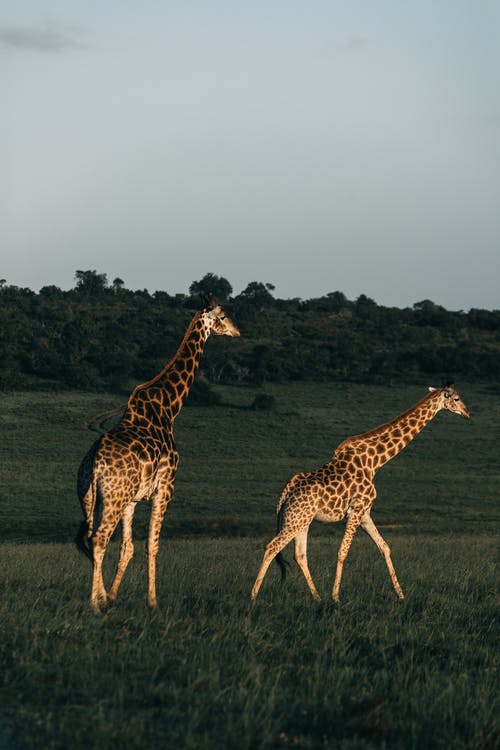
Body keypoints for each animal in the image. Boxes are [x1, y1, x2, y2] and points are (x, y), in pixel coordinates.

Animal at [77, 294, 241, 612]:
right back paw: (93, 602)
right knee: (99, 539)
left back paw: (100, 597)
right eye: (223, 315)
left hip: (90, 497)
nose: (237, 332)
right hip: (113, 497)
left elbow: (127, 547)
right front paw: (152, 600)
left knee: (90, 537)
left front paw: (113, 595)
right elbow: (152, 544)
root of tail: (93, 464)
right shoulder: (166, 486)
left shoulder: (133, 499)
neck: (169, 408)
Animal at [252, 388, 470, 604]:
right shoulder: (356, 511)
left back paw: (317, 597)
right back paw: (253, 597)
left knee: (300, 555)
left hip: (301, 520)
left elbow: (385, 547)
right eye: (457, 398)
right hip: (295, 520)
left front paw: (401, 595)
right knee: (272, 547)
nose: (467, 413)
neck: (375, 462)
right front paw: (336, 597)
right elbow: (343, 552)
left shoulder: (365, 513)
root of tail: (286, 491)